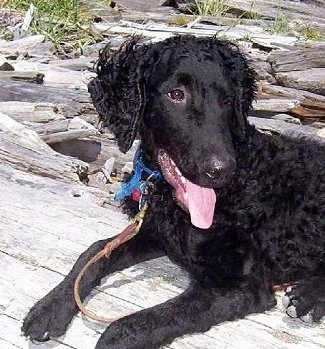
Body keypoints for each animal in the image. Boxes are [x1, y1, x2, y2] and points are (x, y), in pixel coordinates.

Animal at [22, 36, 324, 348]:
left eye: (227, 100)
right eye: (176, 95)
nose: (221, 170)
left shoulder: (240, 286)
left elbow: (135, 324)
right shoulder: (156, 232)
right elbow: (94, 252)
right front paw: (49, 308)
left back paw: (307, 298)